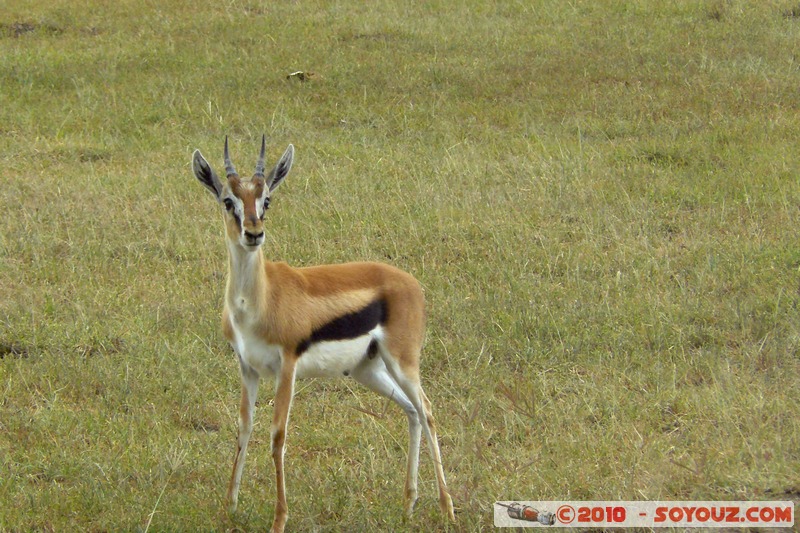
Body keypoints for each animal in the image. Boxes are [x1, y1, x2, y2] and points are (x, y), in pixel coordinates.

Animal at [191, 136, 455, 532]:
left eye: (267, 199)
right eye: (228, 200)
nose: (254, 234)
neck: (258, 300)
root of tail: (411, 282)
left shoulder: (286, 366)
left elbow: (277, 436)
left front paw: (279, 520)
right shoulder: (247, 367)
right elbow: (244, 427)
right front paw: (229, 508)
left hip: (403, 362)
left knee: (428, 411)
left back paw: (447, 508)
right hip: (368, 369)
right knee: (411, 412)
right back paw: (408, 505)